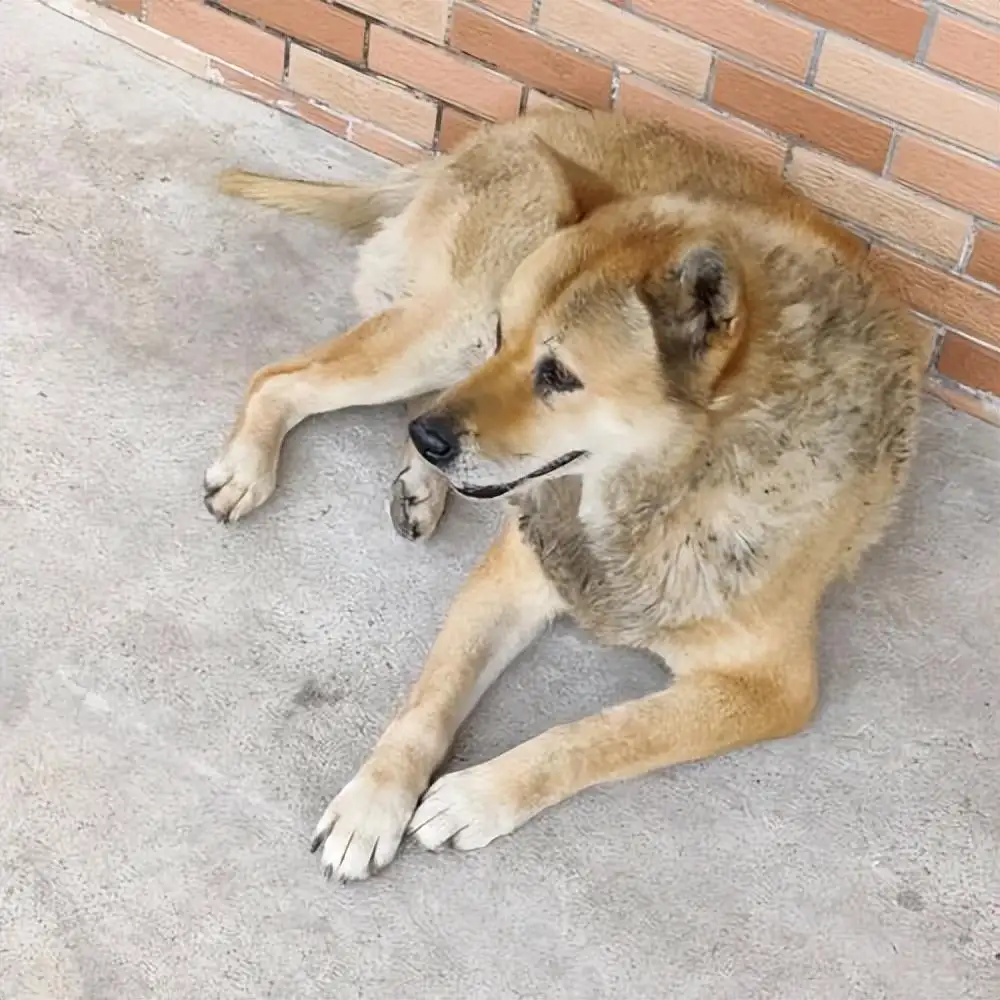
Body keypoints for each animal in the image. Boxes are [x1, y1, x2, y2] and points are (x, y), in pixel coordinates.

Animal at [209, 109, 928, 880]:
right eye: (508, 335)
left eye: (558, 376)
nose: (430, 440)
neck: (675, 483)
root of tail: (514, 126)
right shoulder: (519, 567)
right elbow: (429, 701)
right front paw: (374, 801)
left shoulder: (771, 688)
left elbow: (603, 735)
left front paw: (477, 797)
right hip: (446, 339)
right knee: (281, 379)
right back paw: (256, 466)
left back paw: (420, 481)